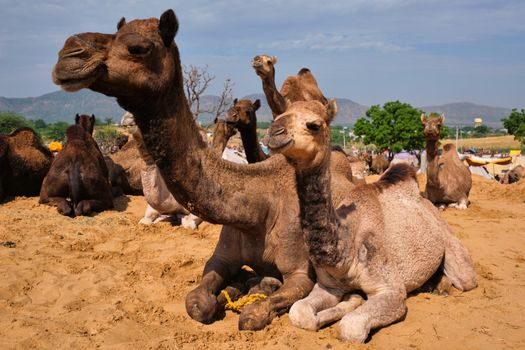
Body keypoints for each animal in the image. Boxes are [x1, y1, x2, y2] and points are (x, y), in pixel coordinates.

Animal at [268, 99, 476, 342]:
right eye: (276, 117)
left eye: (314, 125)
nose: (274, 133)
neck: (345, 250)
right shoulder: (327, 285)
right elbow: (299, 312)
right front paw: (351, 300)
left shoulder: (392, 291)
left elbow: (351, 327)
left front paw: (353, 305)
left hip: (451, 245)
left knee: (464, 278)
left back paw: (440, 286)